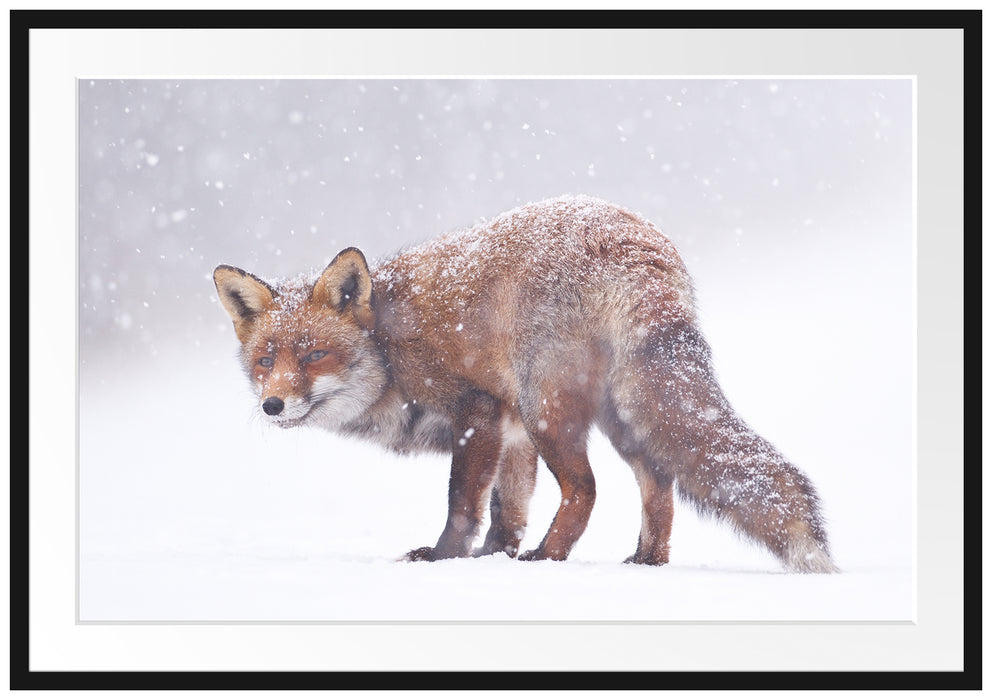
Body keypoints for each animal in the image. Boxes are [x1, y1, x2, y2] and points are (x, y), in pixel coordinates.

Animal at [214, 195, 838, 573]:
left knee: (586, 489)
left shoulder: (480, 412)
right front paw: (496, 559)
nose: (273, 405)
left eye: (315, 354)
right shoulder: (510, 434)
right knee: (658, 484)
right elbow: (506, 510)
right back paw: (644, 562)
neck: (389, 347)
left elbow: (463, 503)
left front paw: (445, 559)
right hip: (619, 415)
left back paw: (549, 558)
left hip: (549, 410)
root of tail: (631, 239)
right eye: (265, 360)